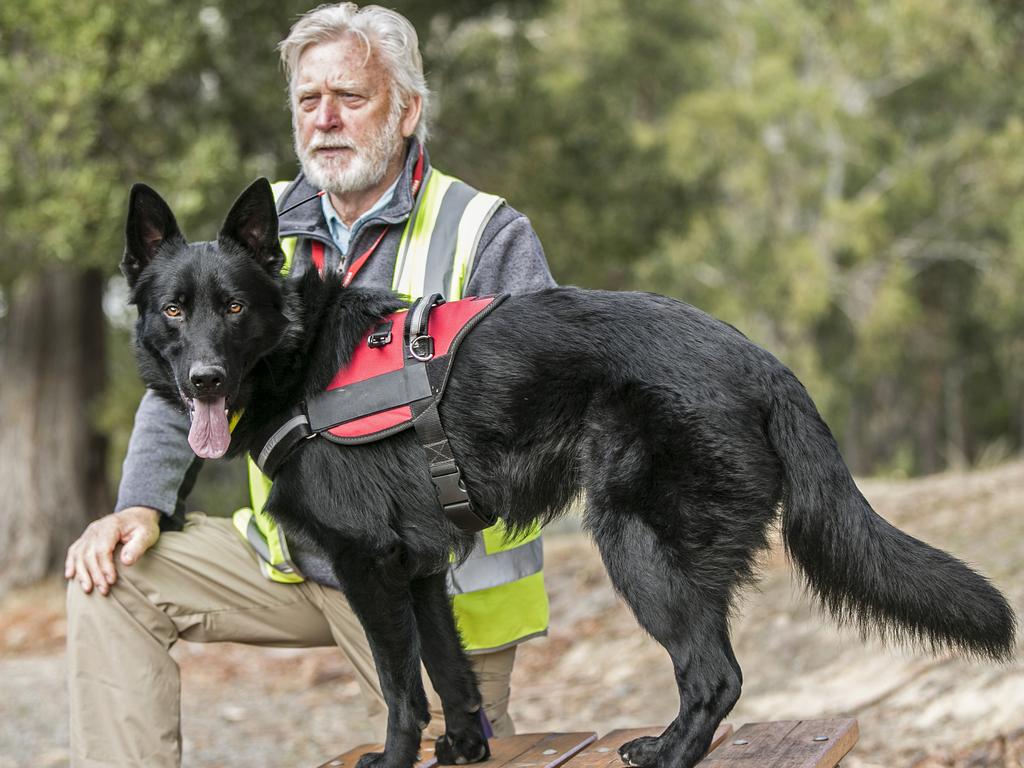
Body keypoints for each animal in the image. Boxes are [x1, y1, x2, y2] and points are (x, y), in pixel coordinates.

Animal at [121, 180, 1015, 768]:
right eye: (174, 310)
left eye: (234, 307)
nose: (203, 379)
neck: (298, 352)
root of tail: (763, 362)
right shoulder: (421, 567)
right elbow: (450, 669)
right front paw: (467, 748)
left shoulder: (368, 564)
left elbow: (398, 685)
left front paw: (395, 758)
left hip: (636, 543)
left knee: (715, 676)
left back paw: (668, 753)